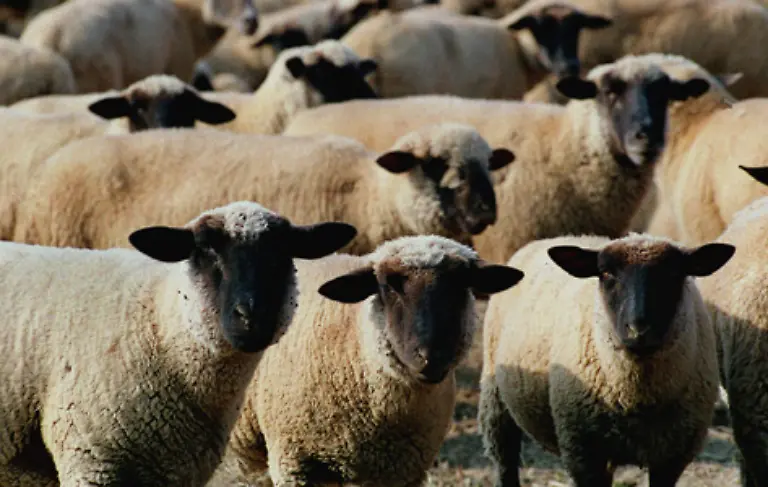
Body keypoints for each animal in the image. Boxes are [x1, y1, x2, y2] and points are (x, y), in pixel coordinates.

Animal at [0, 201, 357, 486]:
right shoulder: (90, 458)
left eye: (283, 254)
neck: (160, 325)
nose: (252, 316)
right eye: (205, 250)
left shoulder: (174, 469)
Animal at [481, 233, 734, 487]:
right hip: (495, 397)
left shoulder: (673, 456)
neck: (638, 397)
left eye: (674, 273)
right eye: (606, 273)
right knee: (505, 458)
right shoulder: (582, 451)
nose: (638, 330)